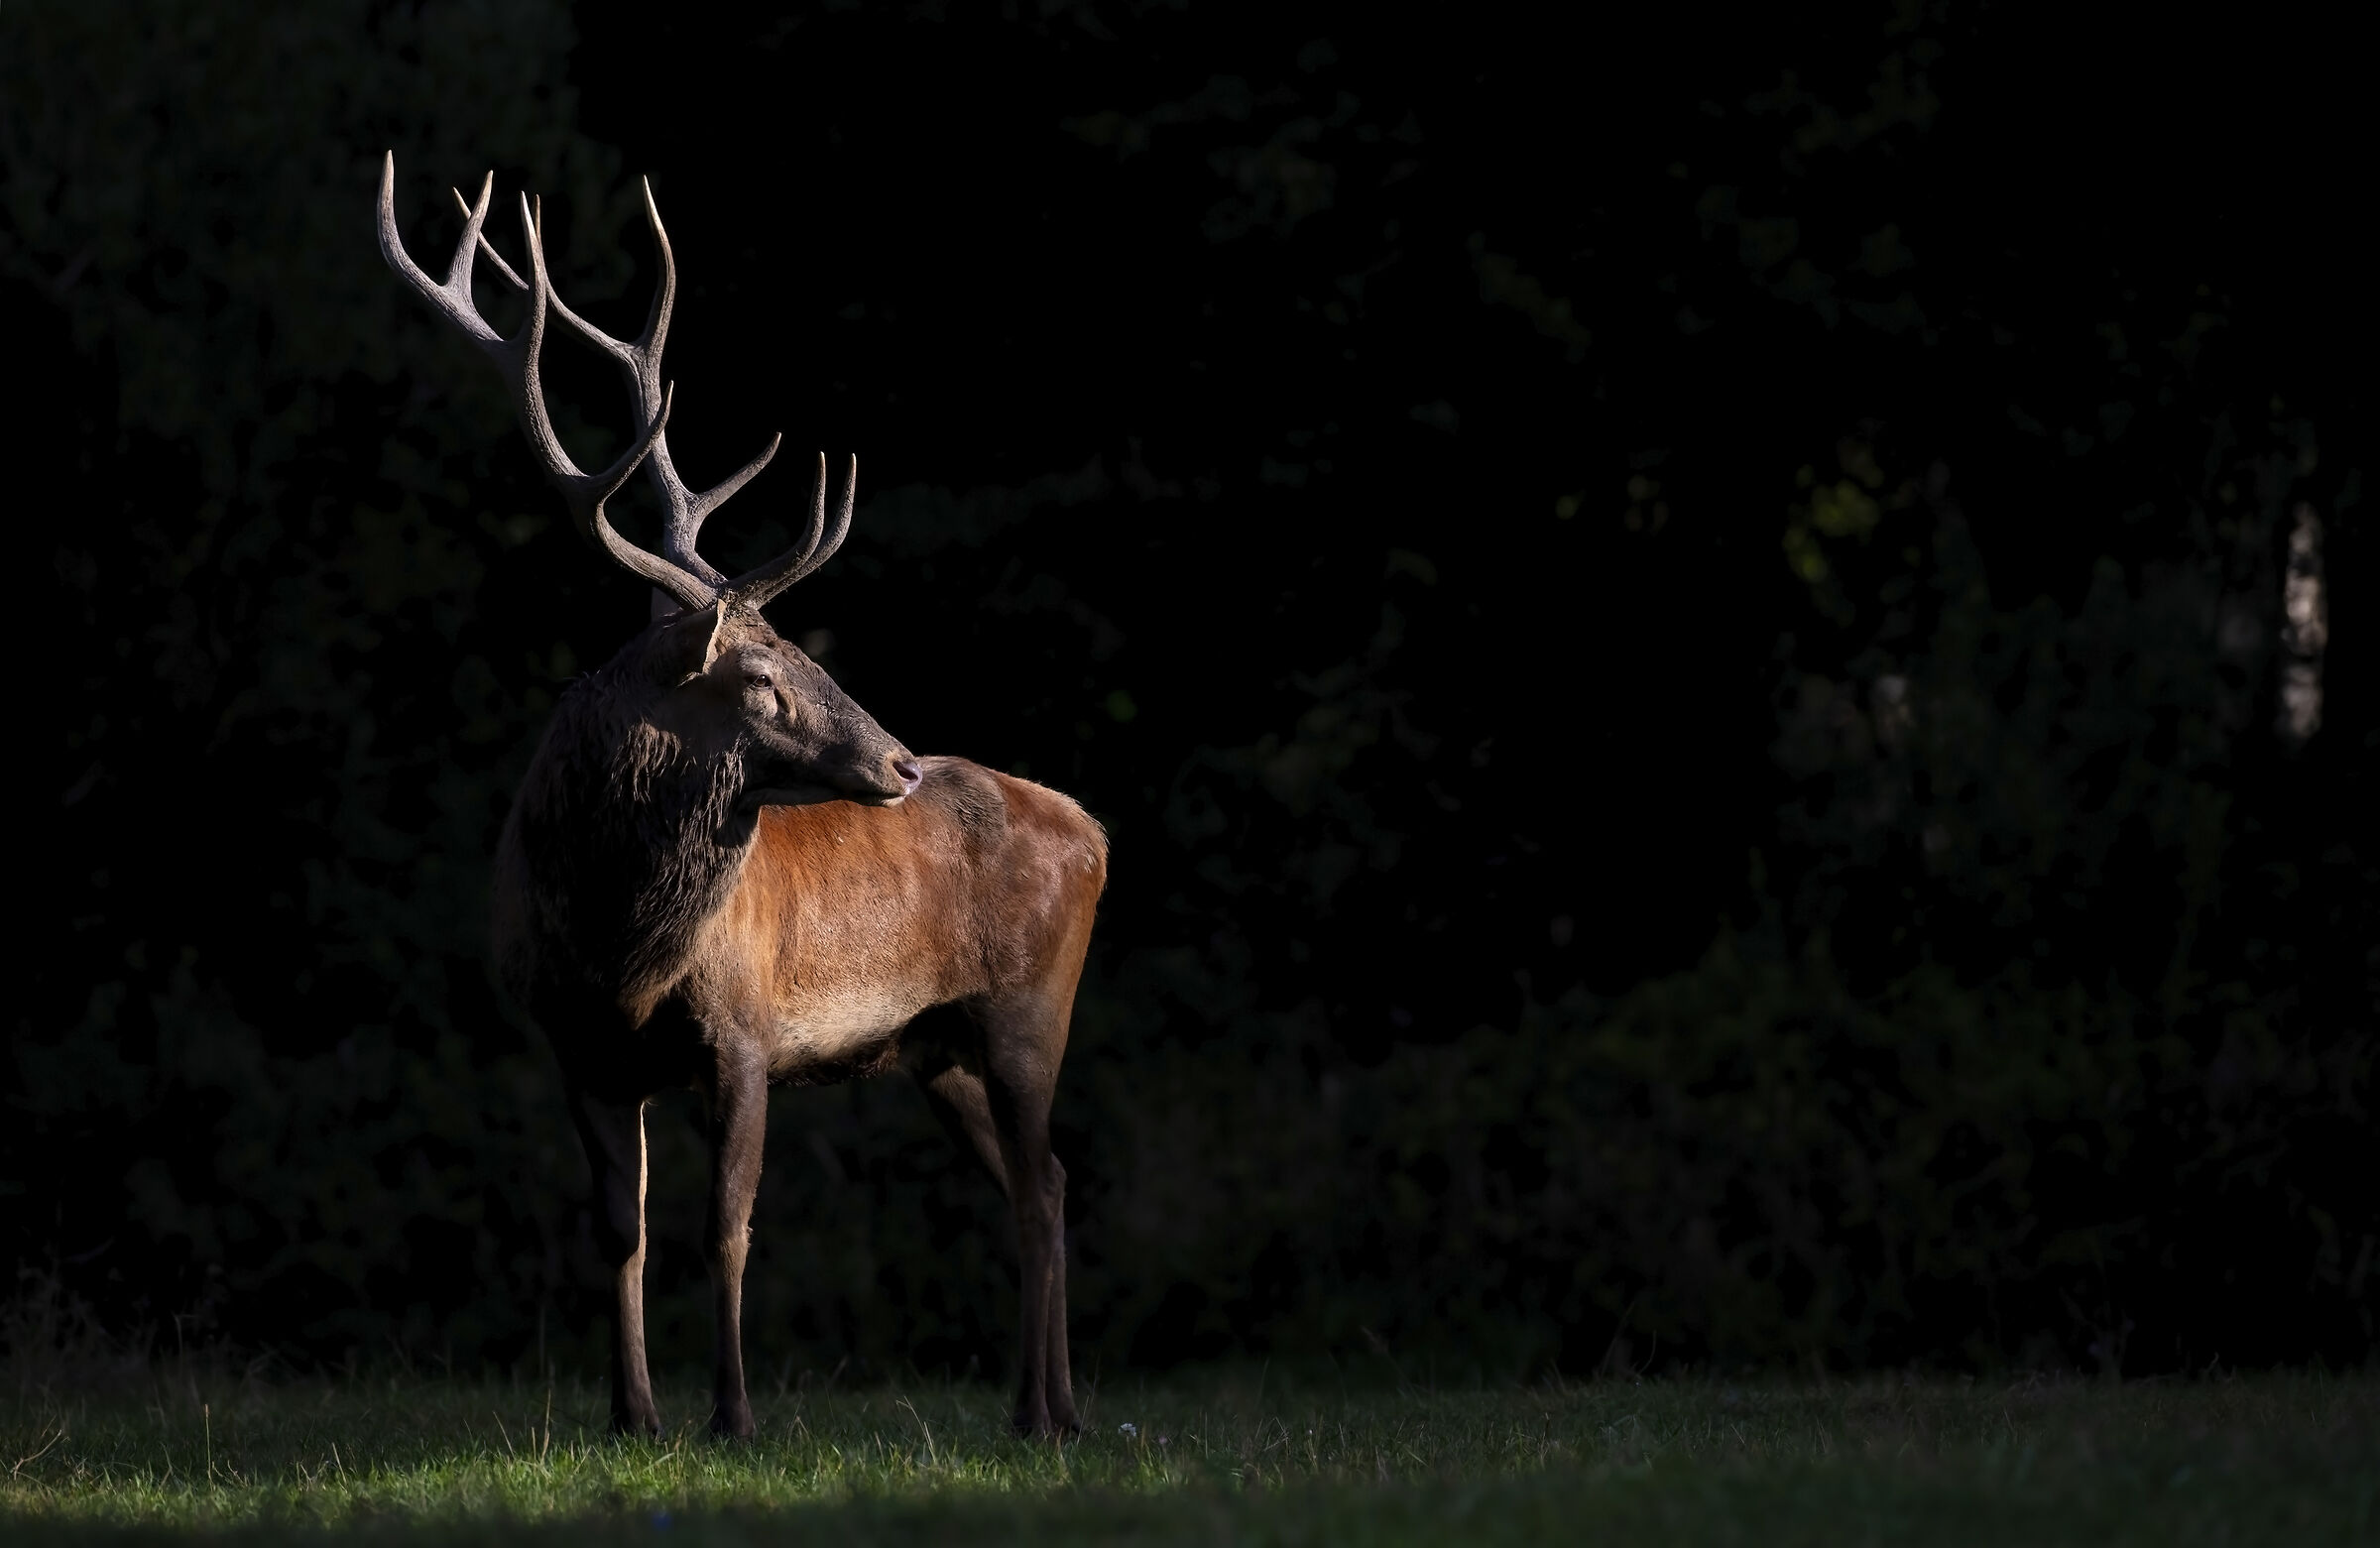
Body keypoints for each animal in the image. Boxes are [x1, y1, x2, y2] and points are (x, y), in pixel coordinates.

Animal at [376, 154, 1106, 1440]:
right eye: (762, 677)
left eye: (800, 652)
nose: (900, 763)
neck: (616, 951)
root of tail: (1098, 831)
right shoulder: (574, 1047)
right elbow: (619, 1232)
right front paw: (630, 1413)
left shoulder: (747, 1034)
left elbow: (727, 1227)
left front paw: (734, 1414)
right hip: (936, 1047)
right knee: (1048, 1179)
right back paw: (1044, 1408)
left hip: (1032, 1005)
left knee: (1038, 1181)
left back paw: (1042, 1412)